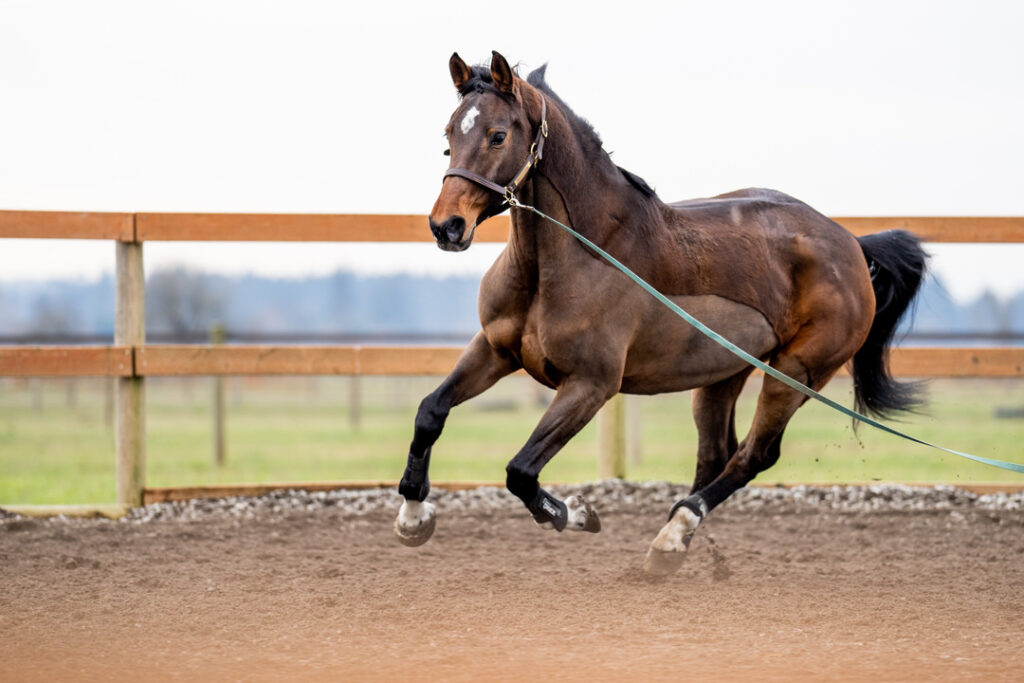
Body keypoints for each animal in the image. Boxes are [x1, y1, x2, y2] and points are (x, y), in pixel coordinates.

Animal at [391, 52, 929, 577]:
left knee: (753, 455)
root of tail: (851, 245)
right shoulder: (494, 349)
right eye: (449, 134)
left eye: (498, 134)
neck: (580, 253)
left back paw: (672, 536)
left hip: (797, 373)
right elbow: (430, 413)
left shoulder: (591, 384)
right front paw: (413, 516)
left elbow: (521, 471)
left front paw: (577, 513)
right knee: (716, 454)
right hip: (722, 375)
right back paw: (679, 545)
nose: (446, 226)